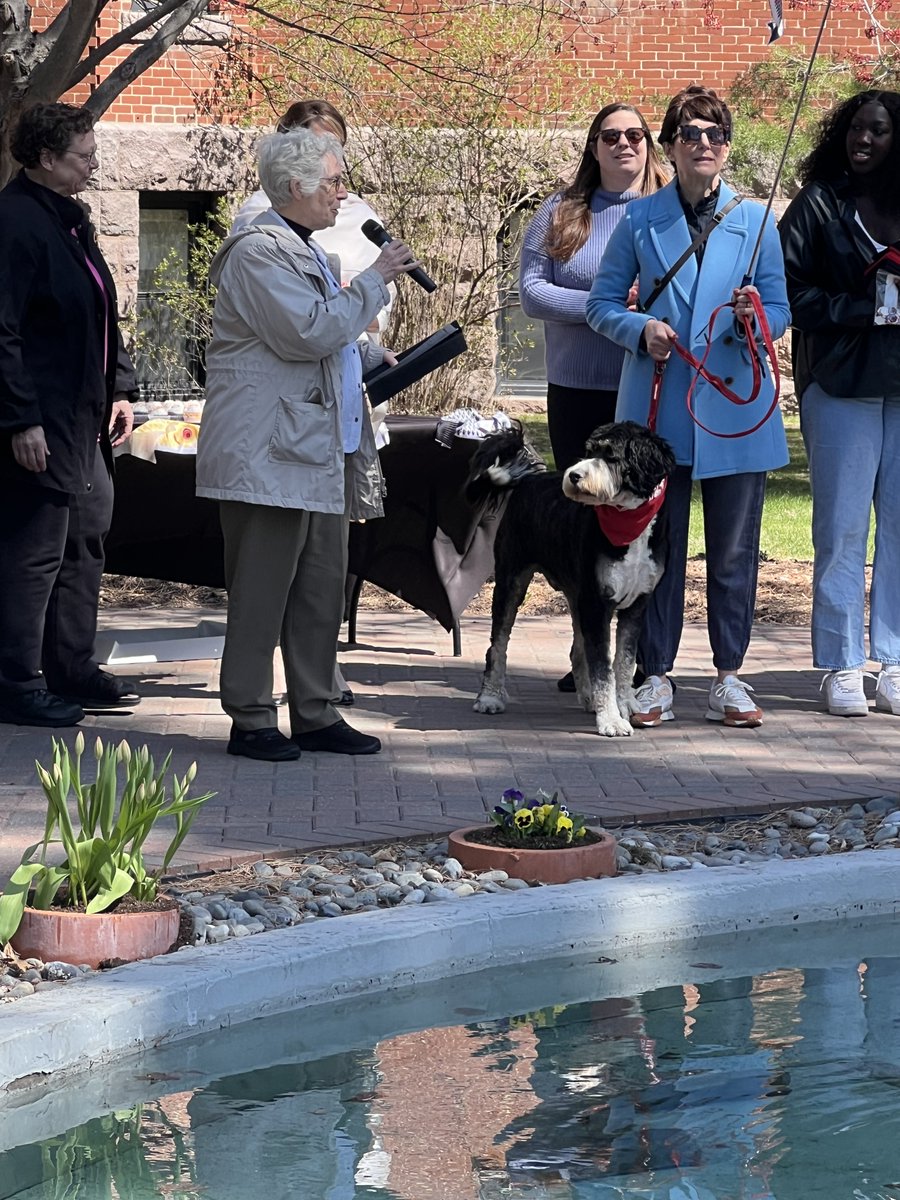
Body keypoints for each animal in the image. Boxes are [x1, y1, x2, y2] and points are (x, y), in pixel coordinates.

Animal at [468, 422, 672, 739]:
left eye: (611, 456)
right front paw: (611, 719)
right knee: (497, 645)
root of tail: (532, 480)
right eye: (588, 452)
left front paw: (625, 704)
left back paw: (588, 698)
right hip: (511, 582)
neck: (629, 524)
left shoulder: (636, 604)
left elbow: (624, 662)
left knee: (577, 650)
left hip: (577, 597)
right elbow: (603, 668)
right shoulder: (598, 604)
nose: (574, 476)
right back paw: (489, 697)